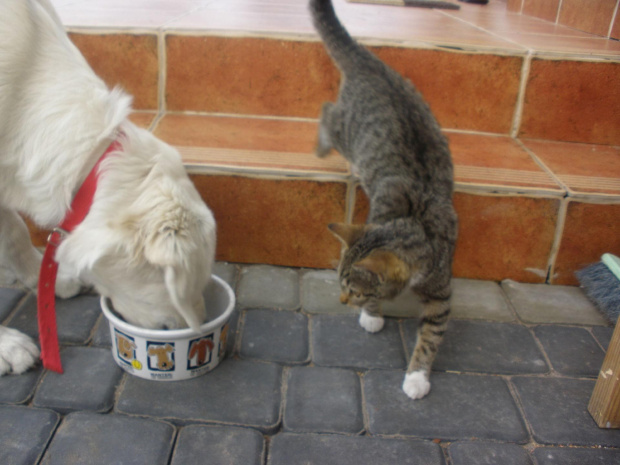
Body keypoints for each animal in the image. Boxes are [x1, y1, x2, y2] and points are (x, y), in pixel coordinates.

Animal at [309, 0, 458, 399]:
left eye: (351, 290)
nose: (342, 302)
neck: (416, 224)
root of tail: (370, 65)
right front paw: (373, 316)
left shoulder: (441, 292)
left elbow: (431, 336)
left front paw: (417, 376)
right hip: (348, 133)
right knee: (327, 109)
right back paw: (320, 147)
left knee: (328, 110)